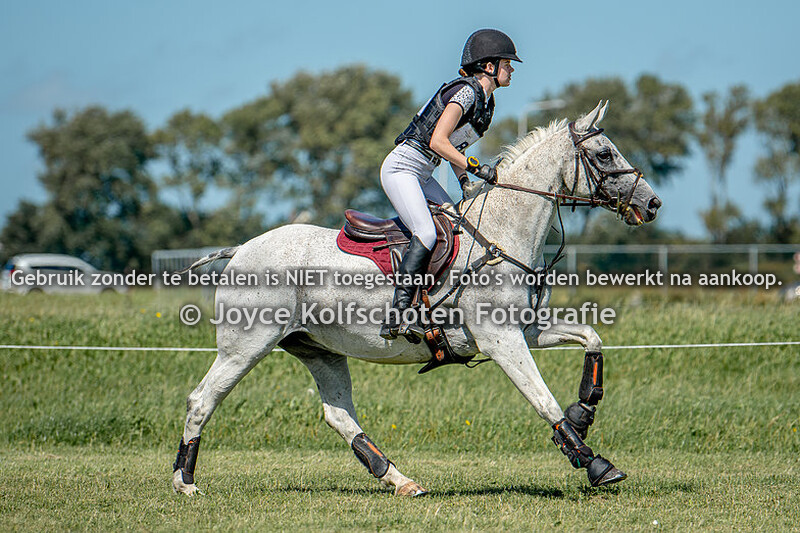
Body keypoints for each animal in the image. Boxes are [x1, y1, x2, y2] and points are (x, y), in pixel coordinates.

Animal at [171, 101, 662, 497]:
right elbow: (542, 399)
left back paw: (399, 480)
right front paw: (595, 463)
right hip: (246, 345)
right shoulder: (501, 340)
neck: (502, 234)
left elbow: (591, 337)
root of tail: (241, 250)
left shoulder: (524, 330)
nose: (652, 203)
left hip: (319, 350)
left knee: (339, 415)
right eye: (605, 154)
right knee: (201, 400)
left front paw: (583, 411)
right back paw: (184, 482)